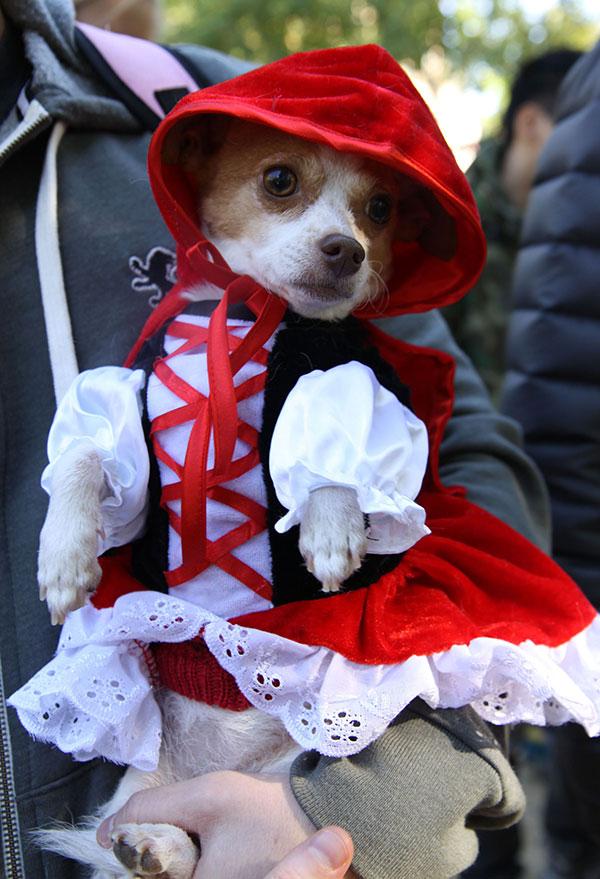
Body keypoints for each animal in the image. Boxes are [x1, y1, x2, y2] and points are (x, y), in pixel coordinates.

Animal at [37, 120, 432, 879]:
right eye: (279, 180)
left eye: (381, 209)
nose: (349, 249)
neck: (254, 313)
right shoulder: (132, 443)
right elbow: (86, 452)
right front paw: (64, 554)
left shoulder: (349, 370)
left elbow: (330, 425)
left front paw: (330, 522)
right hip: (144, 779)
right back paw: (154, 842)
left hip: (292, 763)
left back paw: (161, 846)